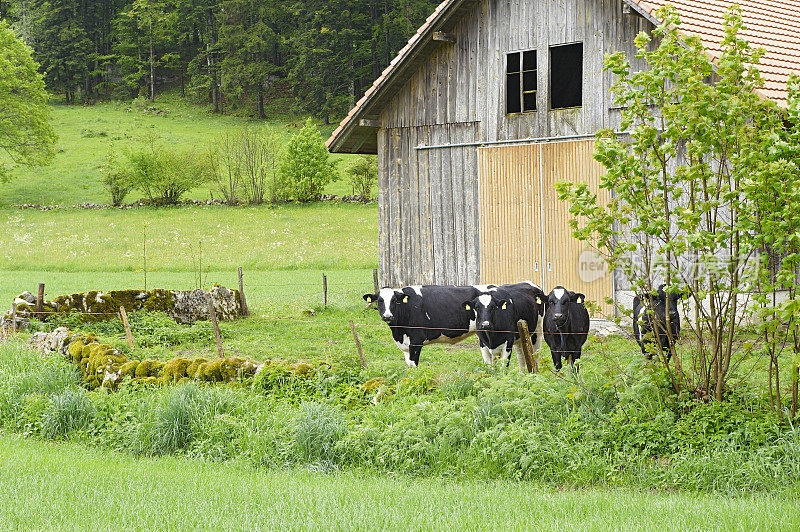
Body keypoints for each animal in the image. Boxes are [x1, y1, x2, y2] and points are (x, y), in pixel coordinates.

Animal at [362, 284, 494, 368]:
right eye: (380, 301)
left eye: (394, 300)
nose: (387, 316)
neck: (398, 332)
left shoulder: (416, 341)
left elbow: (413, 365)